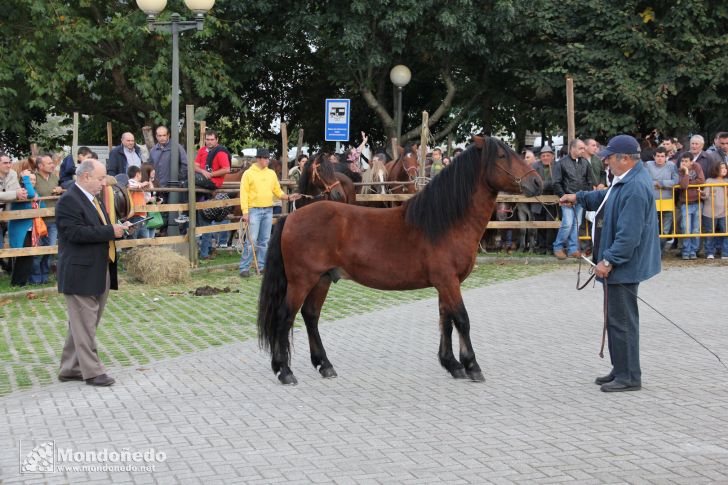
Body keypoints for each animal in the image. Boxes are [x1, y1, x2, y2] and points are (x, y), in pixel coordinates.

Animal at [258, 134, 544, 384]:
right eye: (502, 155)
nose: (538, 183)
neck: (446, 221)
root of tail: (291, 217)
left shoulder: (445, 284)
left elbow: (446, 321)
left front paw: (452, 364)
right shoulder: (448, 281)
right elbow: (462, 320)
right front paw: (472, 366)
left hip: (323, 279)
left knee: (311, 316)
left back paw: (324, 365)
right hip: (301, 281)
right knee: (285, 317)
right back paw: (284, 371)